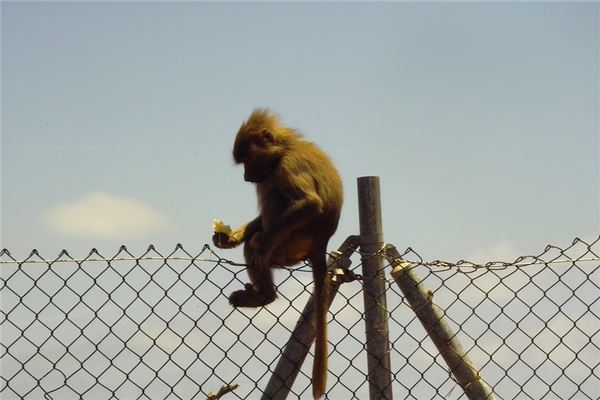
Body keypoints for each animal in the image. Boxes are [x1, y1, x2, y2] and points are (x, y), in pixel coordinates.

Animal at [212, 108, 342, 398]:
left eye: (247, 159)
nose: (247, 177)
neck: (285, 147)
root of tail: (321, 244)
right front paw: (229, 238)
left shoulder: (285, 166)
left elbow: (308, 203)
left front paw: (260, 246)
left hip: (290, 248)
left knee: (267, 205)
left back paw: (264, 295)